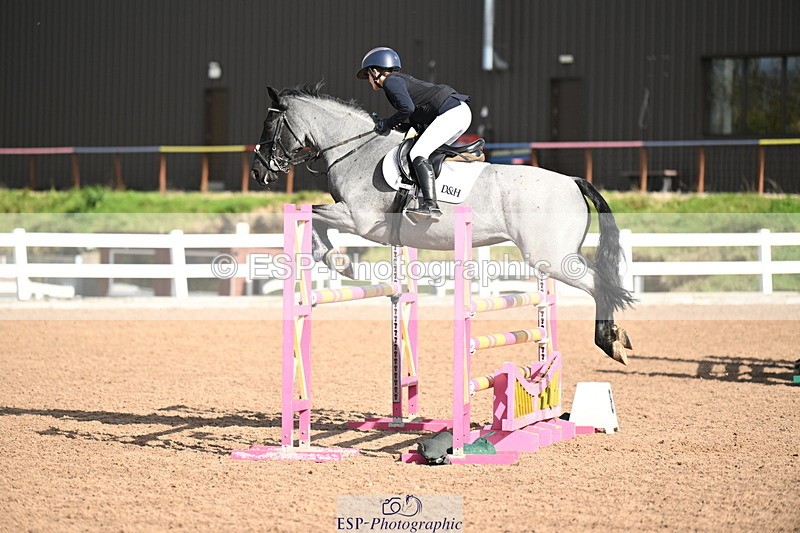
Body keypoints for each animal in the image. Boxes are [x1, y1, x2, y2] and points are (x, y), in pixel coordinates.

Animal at [250, 83, 634, 364]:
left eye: (269, 125)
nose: (258, 172)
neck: (355, 151)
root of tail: (572, 180)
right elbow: (315, 219)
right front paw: (338, 262)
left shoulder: (359, 219)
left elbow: (315, 217)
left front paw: (339, 262)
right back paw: (617, 338)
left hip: (550, 257)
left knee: (599, 284)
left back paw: (610, 342)